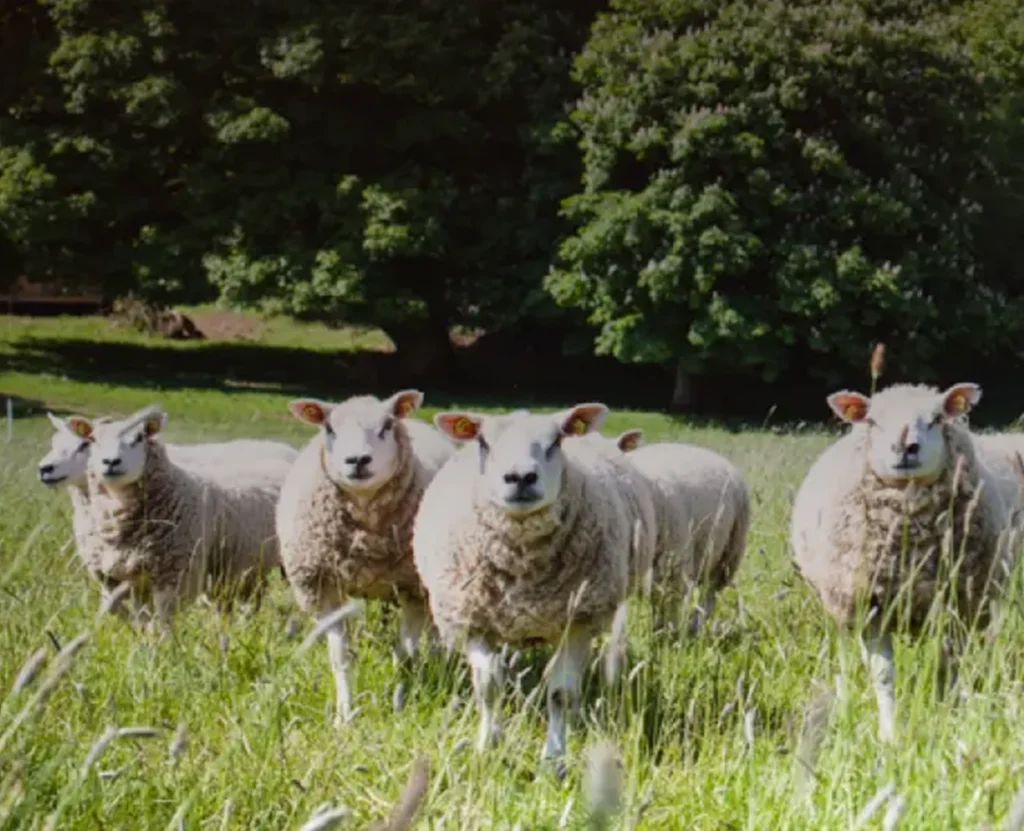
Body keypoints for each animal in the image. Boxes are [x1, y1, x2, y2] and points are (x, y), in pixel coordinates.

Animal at [84, 404, 297, 629]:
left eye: (140, 438)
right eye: (92, 440)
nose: (111, 462)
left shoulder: (174, 572)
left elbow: (164, 618)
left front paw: (161, 638)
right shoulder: (119, 574)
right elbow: (133, 613)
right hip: (249, 563)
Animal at [275, 389, 455, 728]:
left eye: (387, 426)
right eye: (329, 428)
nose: (357, 460)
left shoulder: (414, 589)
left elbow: (407, 654)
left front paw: (401, 703)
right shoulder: (325, 588)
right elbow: (340, 657)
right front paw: (345, 716)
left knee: (435, 637)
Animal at [414, 403, 632, 766]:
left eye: (556, 440)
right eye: (483, 442)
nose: (520, 478)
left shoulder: (578, 621)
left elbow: (561, 692)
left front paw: (554, 757)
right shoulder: (471, 618)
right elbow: (489, 684)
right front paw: (488, 745)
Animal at [790, 381, 1015, 742]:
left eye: (937, 419)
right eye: (873, 422)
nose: (905, 447)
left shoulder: (955, 608)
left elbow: (947, 668)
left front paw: (948, 719)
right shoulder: (870, 611)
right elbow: (883, 676)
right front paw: (889, 734)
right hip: (840, 605)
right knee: (844, 655)